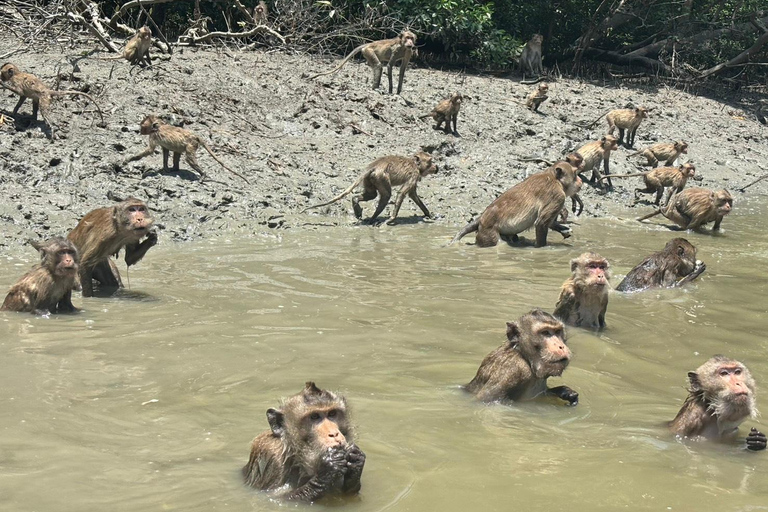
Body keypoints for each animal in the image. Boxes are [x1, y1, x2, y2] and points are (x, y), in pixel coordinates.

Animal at [302, 152, 437, 225]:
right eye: (430, 162)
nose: (436, 167)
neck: (415, 164)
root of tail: (374, 165)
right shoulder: (414, 174)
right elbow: (401, 194)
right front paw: (391, 219)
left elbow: (413, 195)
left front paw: (428, 214)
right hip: (381, 177)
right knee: (386, 195)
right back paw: (373, 217)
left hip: (370, 179)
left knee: (372, 195)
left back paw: (356, 203)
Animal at [450, 161, 581, 248]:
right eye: (575, 174)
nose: (580, 181)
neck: (554, 178)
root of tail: (482, 217)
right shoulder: (557, 196)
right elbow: (541, 223)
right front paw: (542, 247)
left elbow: (549, 223)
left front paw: (563, 228)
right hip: (487, 231)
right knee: (499, 243)